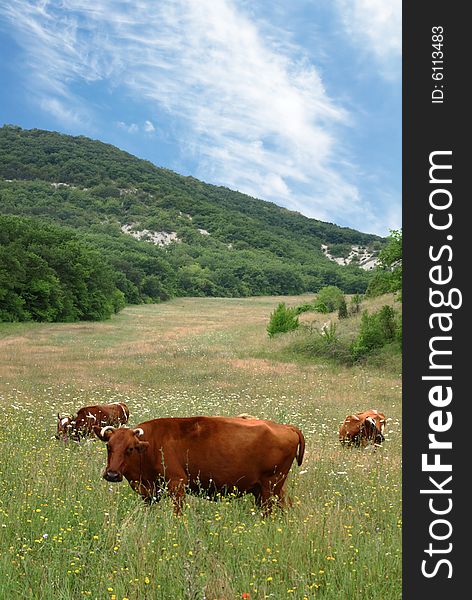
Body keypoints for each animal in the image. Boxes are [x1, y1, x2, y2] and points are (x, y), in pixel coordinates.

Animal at [94, 414, 304, 512]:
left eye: (130, 448)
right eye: (109, 446)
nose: (112, 474)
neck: (151, 444)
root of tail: (288, 427)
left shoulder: (177, 484)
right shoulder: (150, 492)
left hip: (270, 488)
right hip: (270, 489)